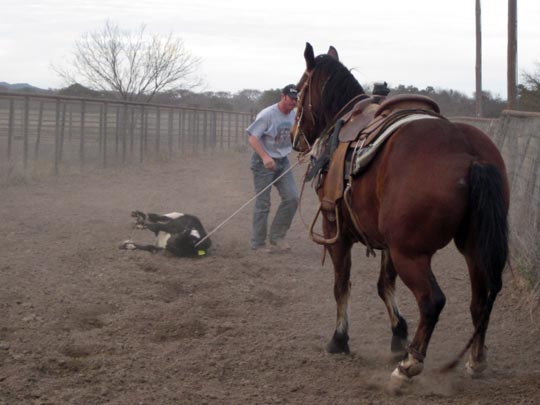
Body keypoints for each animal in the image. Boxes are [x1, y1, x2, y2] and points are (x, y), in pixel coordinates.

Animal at [288, 41, 508, 386]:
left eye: (298, 90)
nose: (294, 137)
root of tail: (468, 153)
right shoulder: (387, 243)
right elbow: (383, 285)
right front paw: (397, 335)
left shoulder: (335, 229)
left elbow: (341, 284)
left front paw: (339, 339)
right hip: (472, 246)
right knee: (480, 299)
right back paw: (475, 360)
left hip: (412, 254)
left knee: (432, 301)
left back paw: (410, 364)